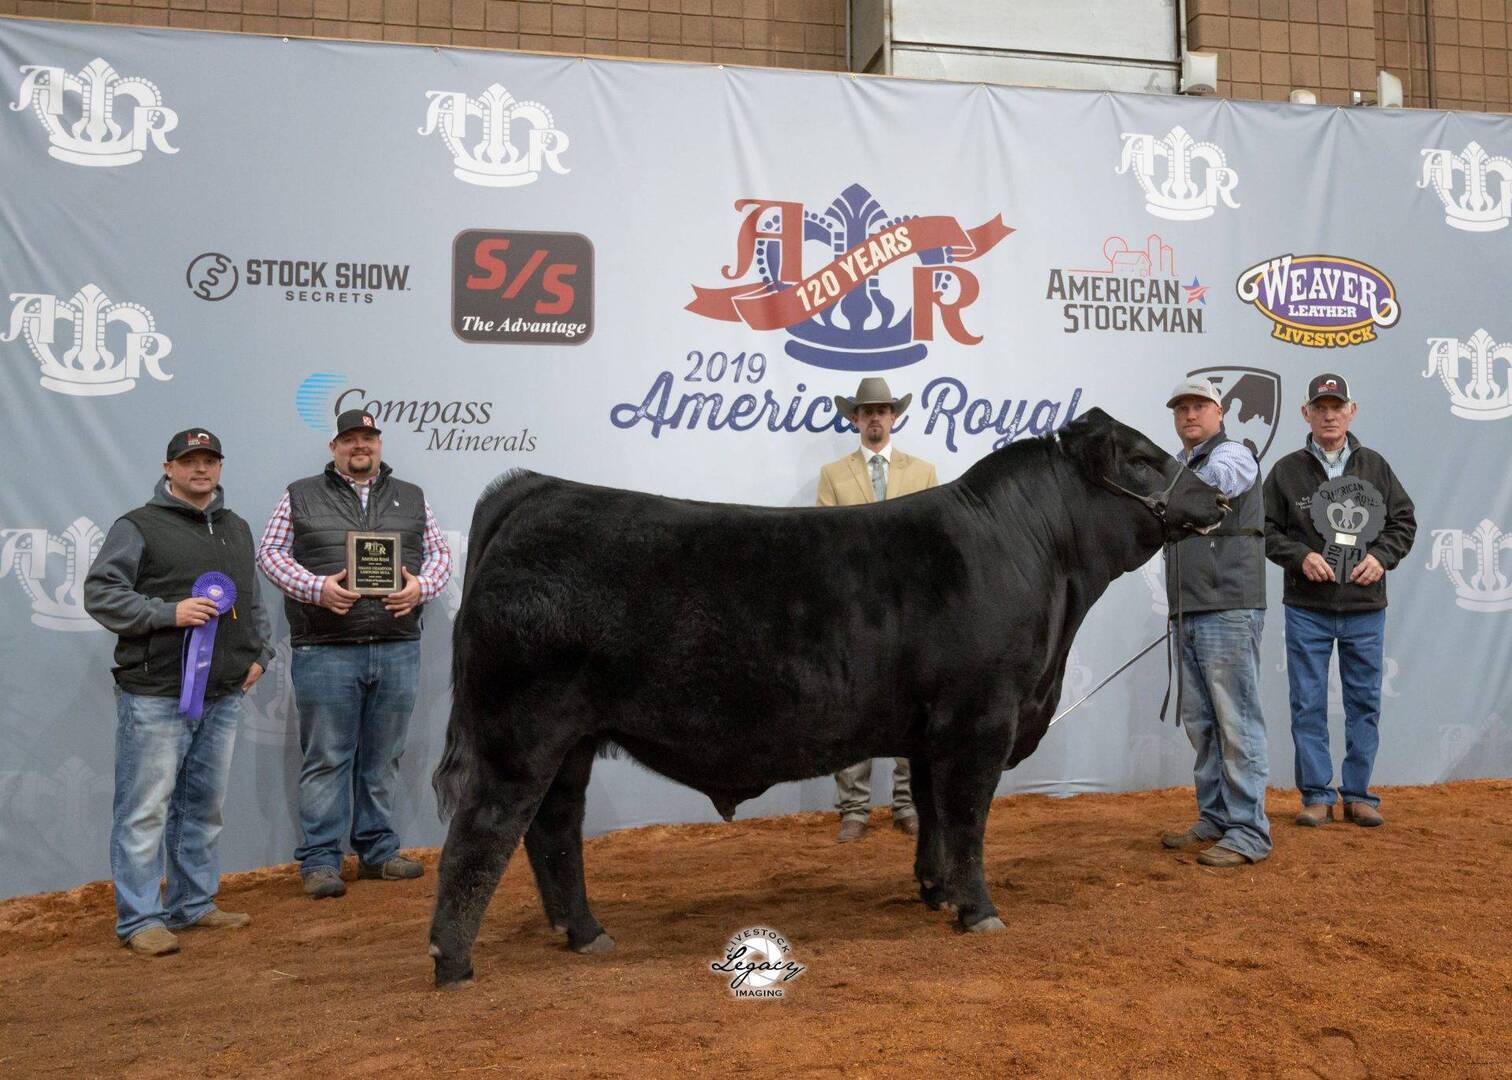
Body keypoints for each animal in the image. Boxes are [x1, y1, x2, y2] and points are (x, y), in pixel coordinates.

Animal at [426, 407, 1228, 988]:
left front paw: (935, 892)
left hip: (572, 740)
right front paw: (979, 912)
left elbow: (933, 813)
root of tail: (537, 489)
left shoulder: (931, 729)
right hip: (519, 731)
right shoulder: (980, 719)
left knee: (552, 830)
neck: (1037, 558)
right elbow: (968, 818)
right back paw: (453, 963)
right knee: (482, 833)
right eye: (1143, 459)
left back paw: (587, 935)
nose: (1219, 496)